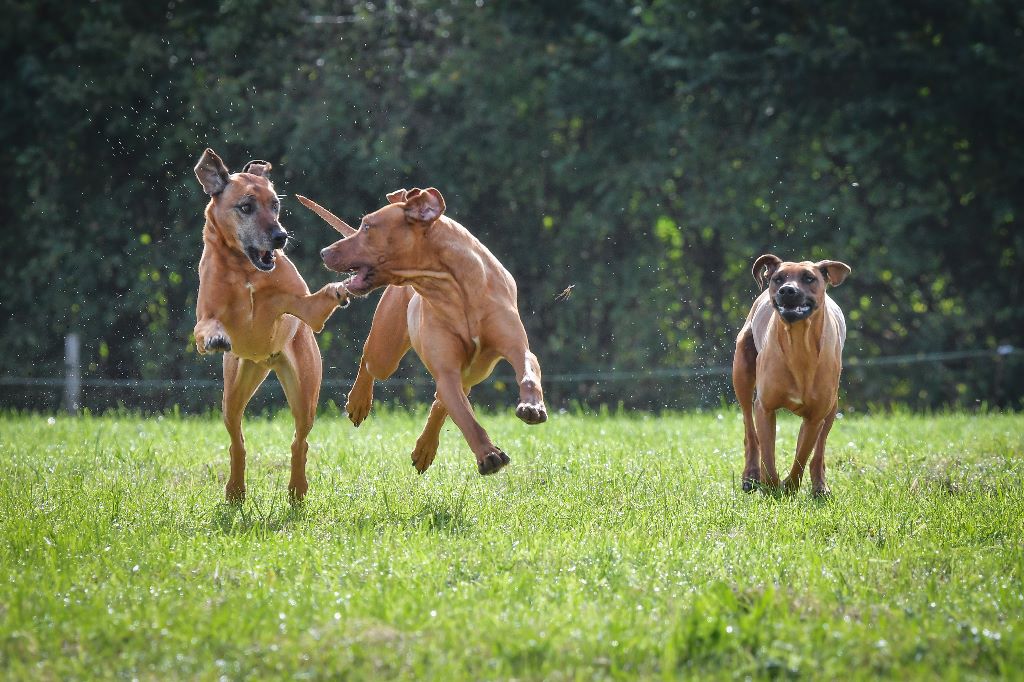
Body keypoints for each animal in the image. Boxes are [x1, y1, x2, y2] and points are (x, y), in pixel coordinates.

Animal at [192, 149, 350, 501]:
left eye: (275, 204)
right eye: (246, 207)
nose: (280, 237)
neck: (245, 269)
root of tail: (265, 361)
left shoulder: (307, 310)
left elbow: (319, 302)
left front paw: (343, 287)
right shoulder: (203, 318)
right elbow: (205, 328)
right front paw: (216, 337)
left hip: (305, 392)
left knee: (299, 441)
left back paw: (297, 489)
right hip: (233, 392)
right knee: (237, 440)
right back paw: (235, 489)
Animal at [297, 188, 547, 475]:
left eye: (367, 226)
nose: (324, 252)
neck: (456, 288)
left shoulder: (516, 347)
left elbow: (527, 372)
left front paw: (532, 406)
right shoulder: (447, 370)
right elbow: (465, 417)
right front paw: (488, 454)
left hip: (473, 373)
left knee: (441, 402)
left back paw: (425, 447)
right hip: (387, 352)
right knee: (371, 362)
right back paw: (359, 401)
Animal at [732, 254, 851, 496]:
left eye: (809, 278)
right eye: (778, 278)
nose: (787, 290)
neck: (799, 345)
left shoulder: (815, 417)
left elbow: (802, 454)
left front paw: (790, 487)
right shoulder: (765, 407)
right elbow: (768, 453)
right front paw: (771, 486)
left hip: (832, 407)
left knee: (819, 451)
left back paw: (820, 486)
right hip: (741, 373)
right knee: (751, 433)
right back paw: (751, 476)